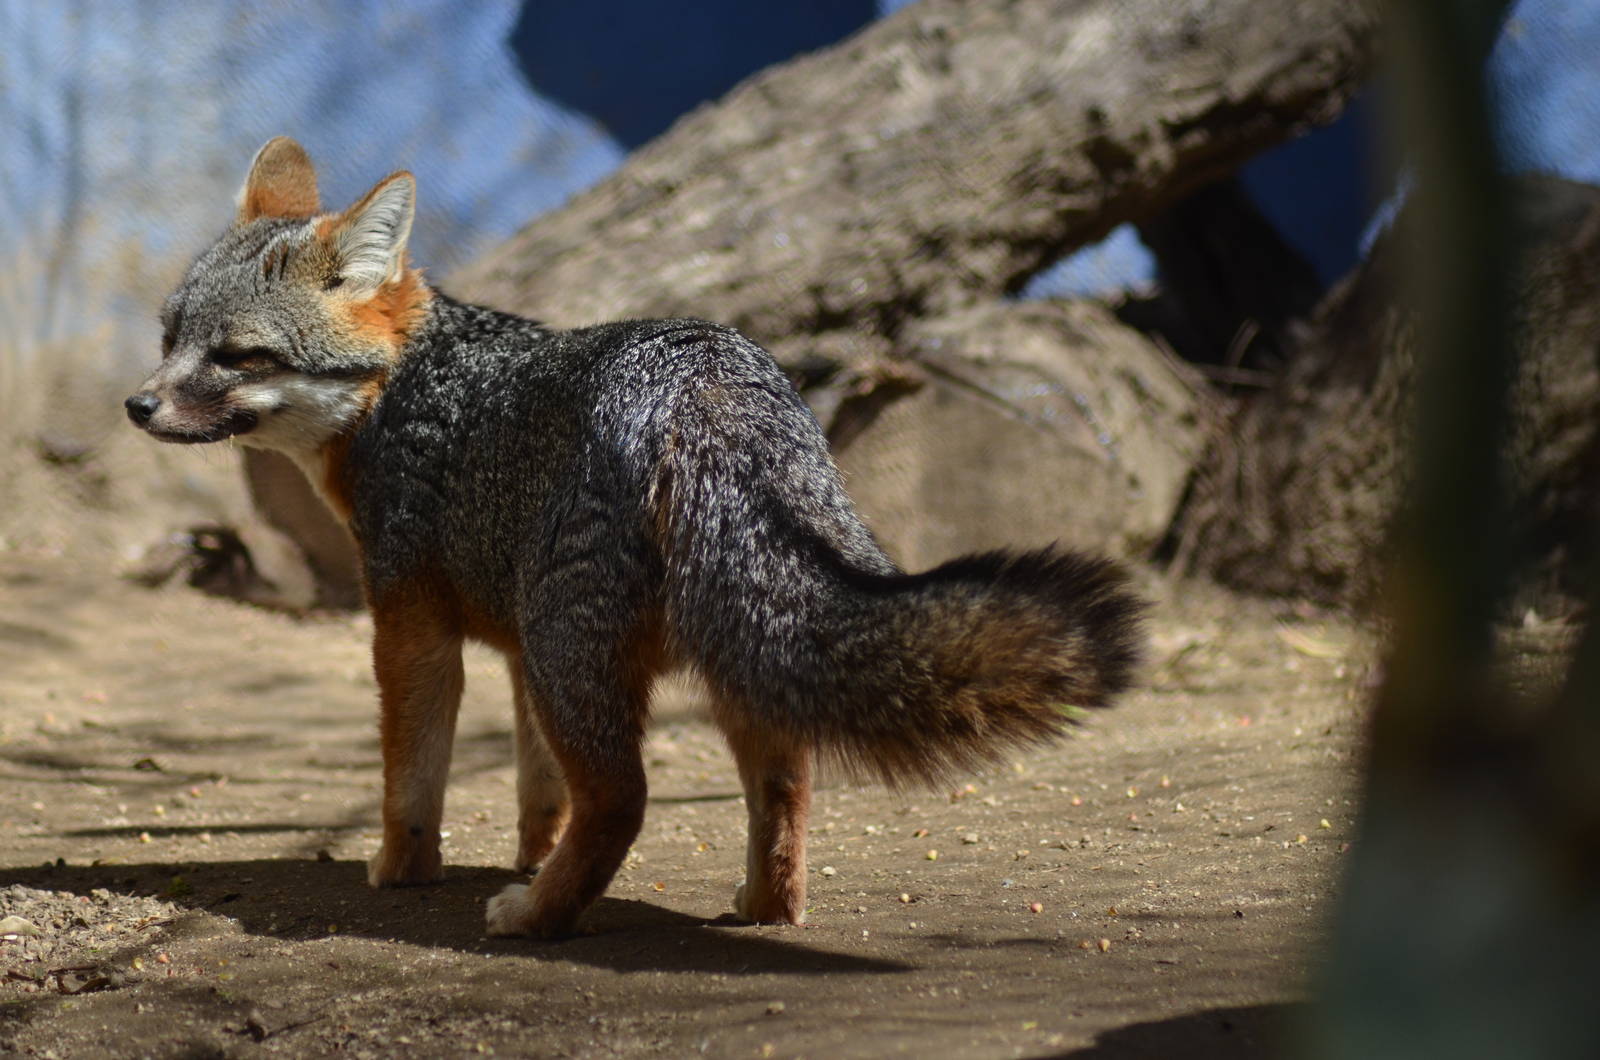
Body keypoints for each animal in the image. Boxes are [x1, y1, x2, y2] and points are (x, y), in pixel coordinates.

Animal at [125, 137, 1144, 938]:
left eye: (238, 357)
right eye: (169, 337)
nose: (136, 405)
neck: (403, 386)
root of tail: (704, 376)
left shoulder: (413, 625)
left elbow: (412, 780)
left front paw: (403, 868)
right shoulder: (513, 646)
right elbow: (537, 787)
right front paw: (528, 854)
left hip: (576, 652)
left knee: (624, 800)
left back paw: (539, 918)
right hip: (706, 647)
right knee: (783, 785)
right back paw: (759, 906)